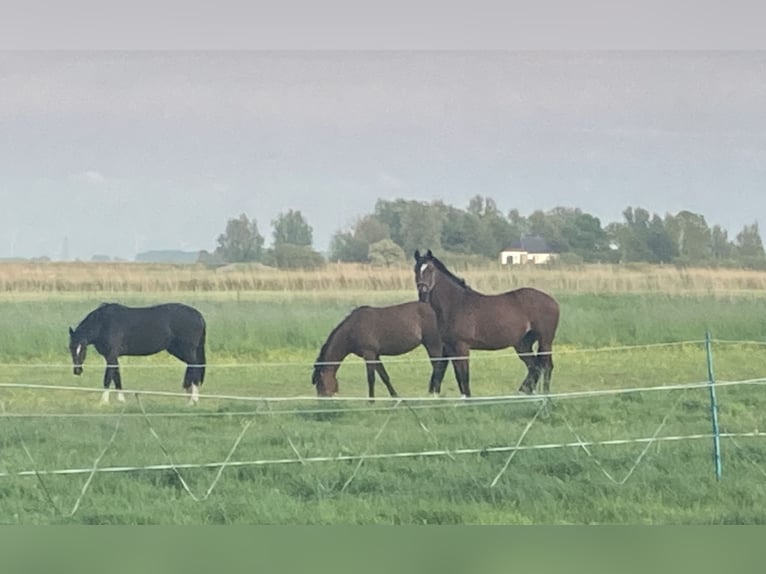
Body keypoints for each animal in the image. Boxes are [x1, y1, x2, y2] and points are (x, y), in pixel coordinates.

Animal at [68, 302, 207, 405]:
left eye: (83, 349)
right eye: (71, 348)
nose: (77, 371)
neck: (104, 323)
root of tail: (198, 315)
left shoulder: (111, 355)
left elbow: (108, 377)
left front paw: (103, 401)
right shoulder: (112, 356)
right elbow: (117, 376)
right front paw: (121, 400)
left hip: (187, 350)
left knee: (195, 367)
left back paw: (193, 399)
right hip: (177, 350)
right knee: (191, 367)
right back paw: (189, 397)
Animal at [312, 301, 451, 398]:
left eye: (320, 383)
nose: (322, 402)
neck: (352, 328)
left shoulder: (369, 354)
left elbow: (371, 378)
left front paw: (371, 401)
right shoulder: (376, 355)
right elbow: (384, 377)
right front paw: (395, 397)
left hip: (433, 345)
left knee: (438, 368)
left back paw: (435, 392)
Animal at [413, 249, 560, 397]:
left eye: (431, 269)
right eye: (416, 269)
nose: (423, 293)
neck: (456, 304)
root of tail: (552, 301)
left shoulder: (462, 347)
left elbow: (464, 377)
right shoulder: (450, 348)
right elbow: (459, 377)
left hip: (545, 340)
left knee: (546, 366)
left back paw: (546, 395)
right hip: (523, 344)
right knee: (534, 366)